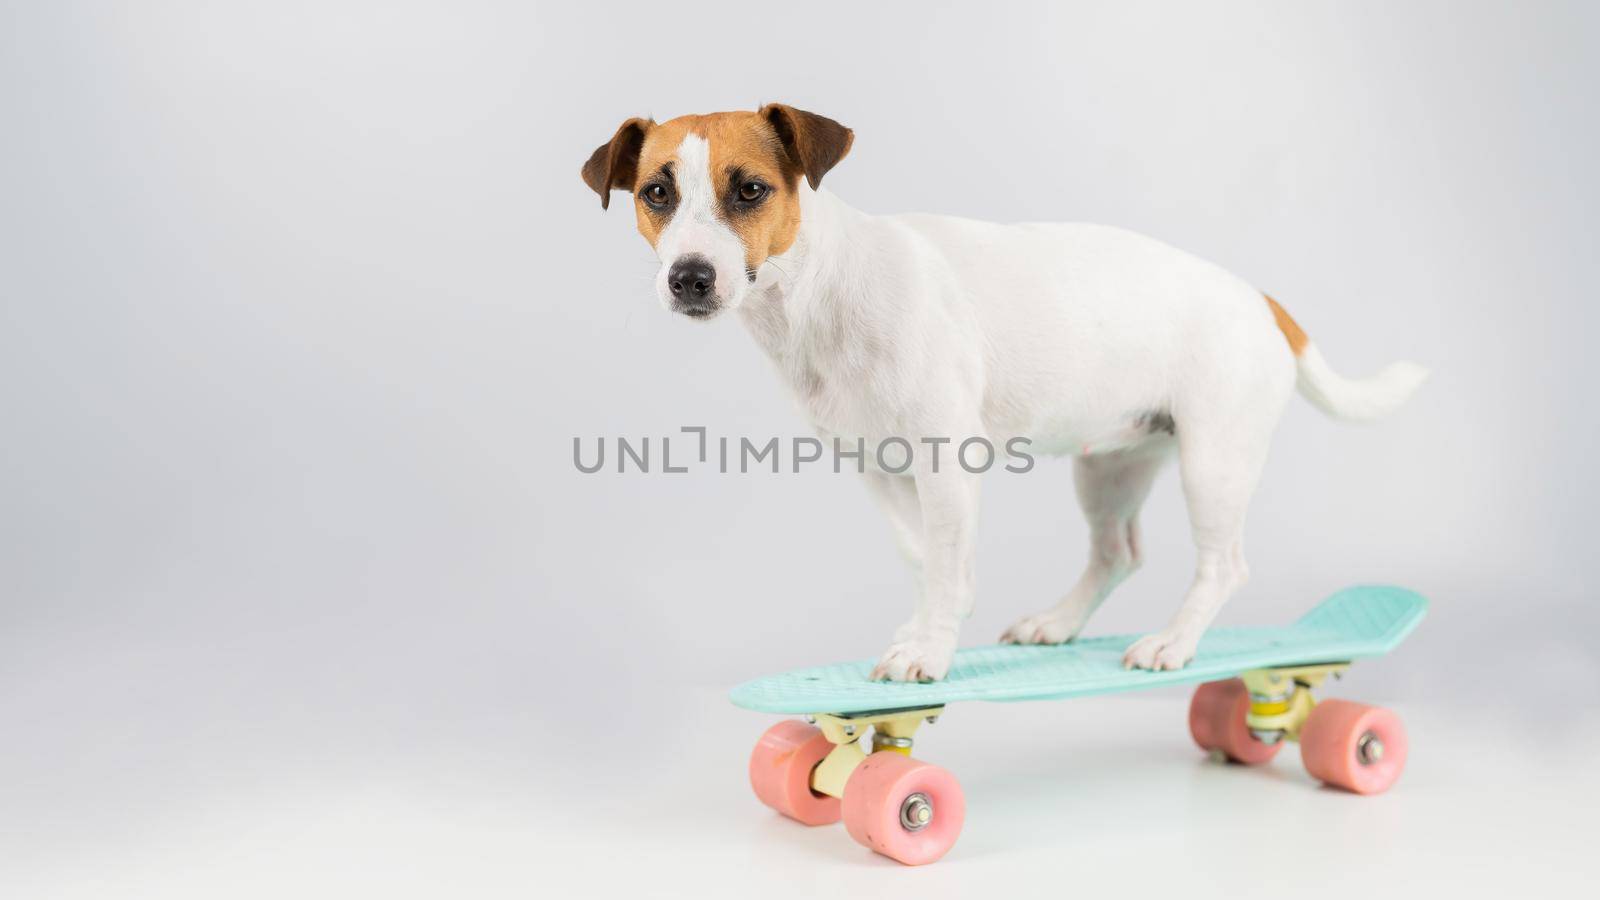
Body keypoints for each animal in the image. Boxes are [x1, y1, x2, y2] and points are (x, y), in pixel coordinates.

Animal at [579, 104, 1427, 679]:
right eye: (655, 194)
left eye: (751, 190)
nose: (689, 277)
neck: (824, 291)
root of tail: (1260, 298)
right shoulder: (878, 467)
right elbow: (924, 555)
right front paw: (938, 618)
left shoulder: (945, 462)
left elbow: (943, 554)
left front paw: (930, 649)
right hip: (1110, 463)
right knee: (1117, 552)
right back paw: (1060, 622)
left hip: (1214, 463)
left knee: (1223, 566)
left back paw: (1174, 642)